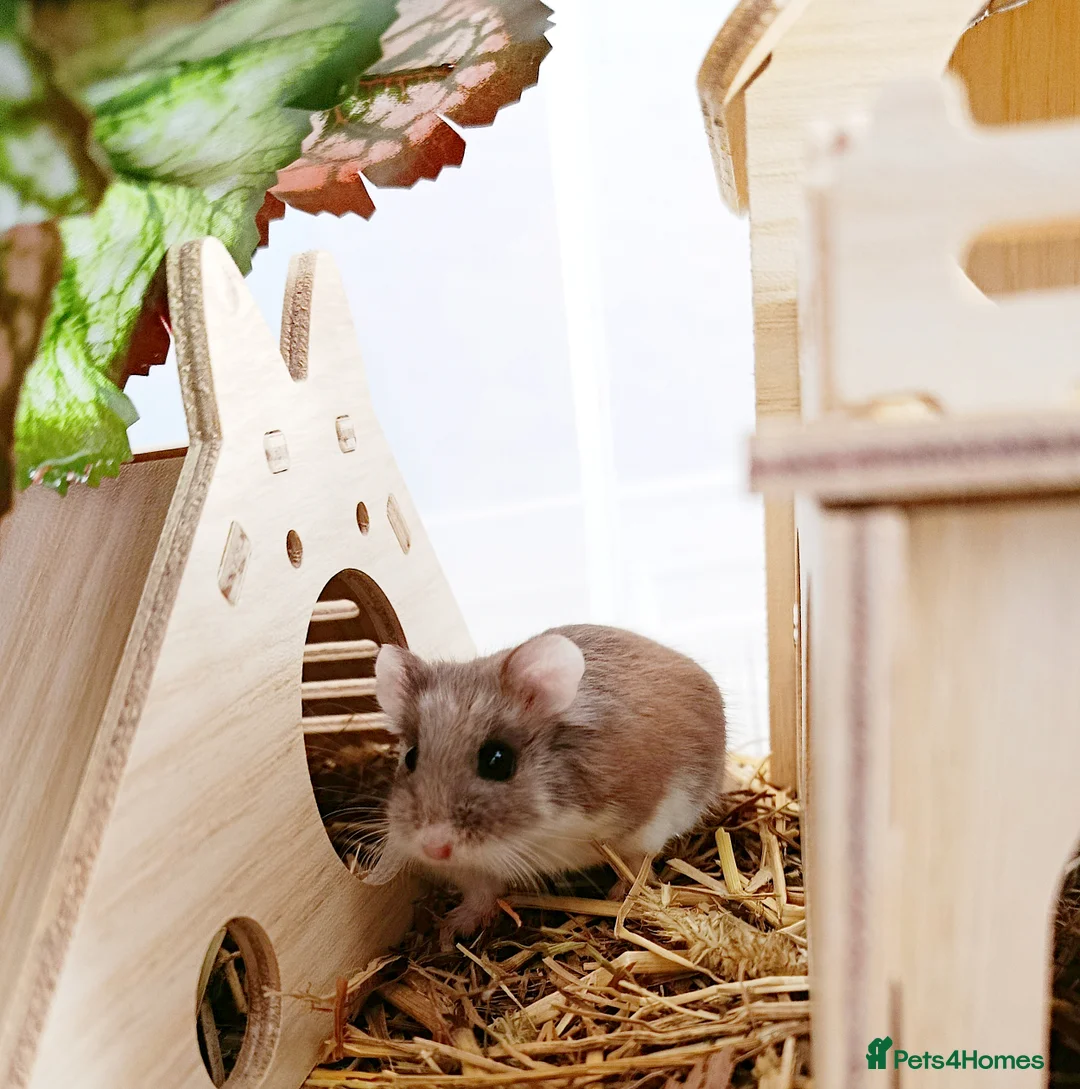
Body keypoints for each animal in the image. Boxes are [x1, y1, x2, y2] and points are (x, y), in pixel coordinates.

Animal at [365, 623, 727, 948]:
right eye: (410, 756)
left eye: (498, 760)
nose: (433, 848)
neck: (538, 829)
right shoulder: (474, 868)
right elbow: (482, 894)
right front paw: (449, 933)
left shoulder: (646, 821)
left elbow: (636, 864)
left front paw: (622, 897)